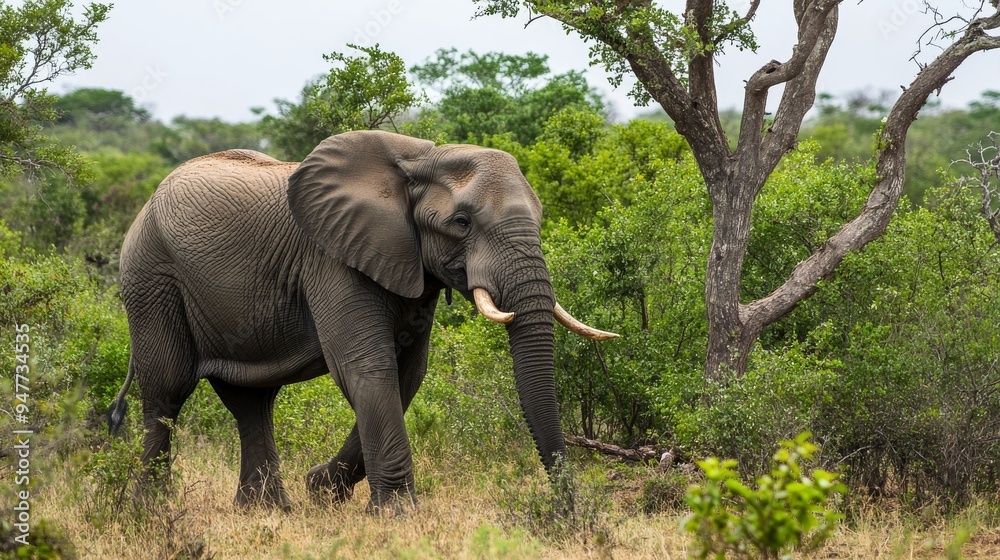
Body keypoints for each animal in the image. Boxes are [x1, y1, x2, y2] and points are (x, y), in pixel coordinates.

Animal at [106, 130, 616, 513]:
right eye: (462, 223)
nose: (567, 511)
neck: (420, 159)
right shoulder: (332, 259)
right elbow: (367, 368)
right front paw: (397, 514)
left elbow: (408, 375)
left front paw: (322, 490)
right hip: (151, 277)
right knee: (167, 391)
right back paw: (149, 510)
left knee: (251, 400)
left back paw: (267, 510)